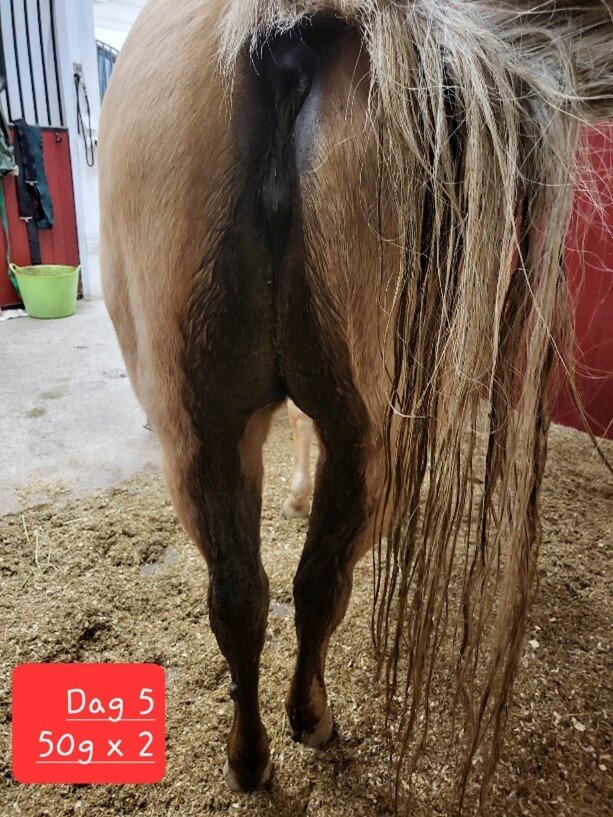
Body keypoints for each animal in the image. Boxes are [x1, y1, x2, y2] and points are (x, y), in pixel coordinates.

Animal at [99, 0, 612, 808]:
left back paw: (251, 757)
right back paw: (312, 720)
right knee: (321, 584)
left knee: (243, 597)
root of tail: (282, 38)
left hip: (203, 434)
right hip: (379, 437)